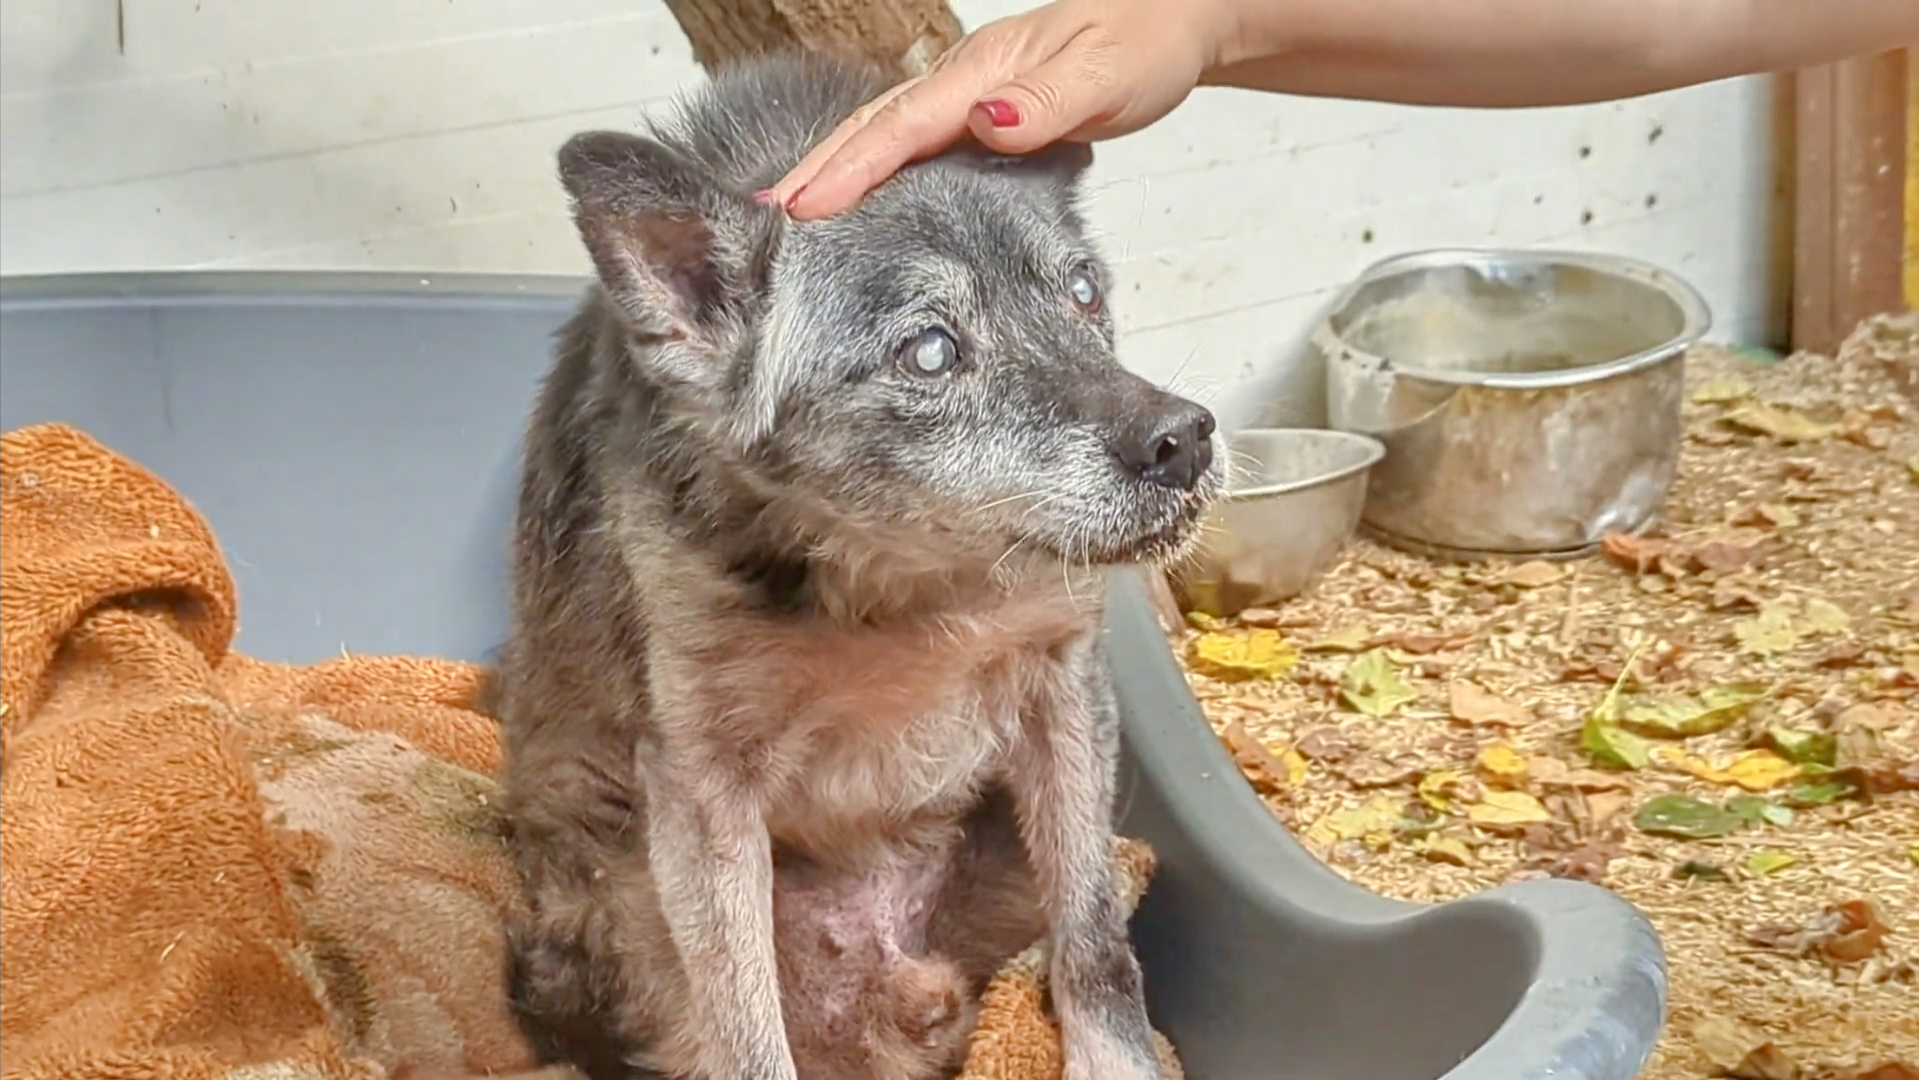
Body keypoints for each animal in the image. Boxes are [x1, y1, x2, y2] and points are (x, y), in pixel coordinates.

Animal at [495, 48, 1228, 1080]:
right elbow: (746, 1036)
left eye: (1083, 291)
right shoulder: (704, 792)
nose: (1184, 440)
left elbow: (1094, 950)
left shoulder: (1063, 688)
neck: (912, 586)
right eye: (929, 351)